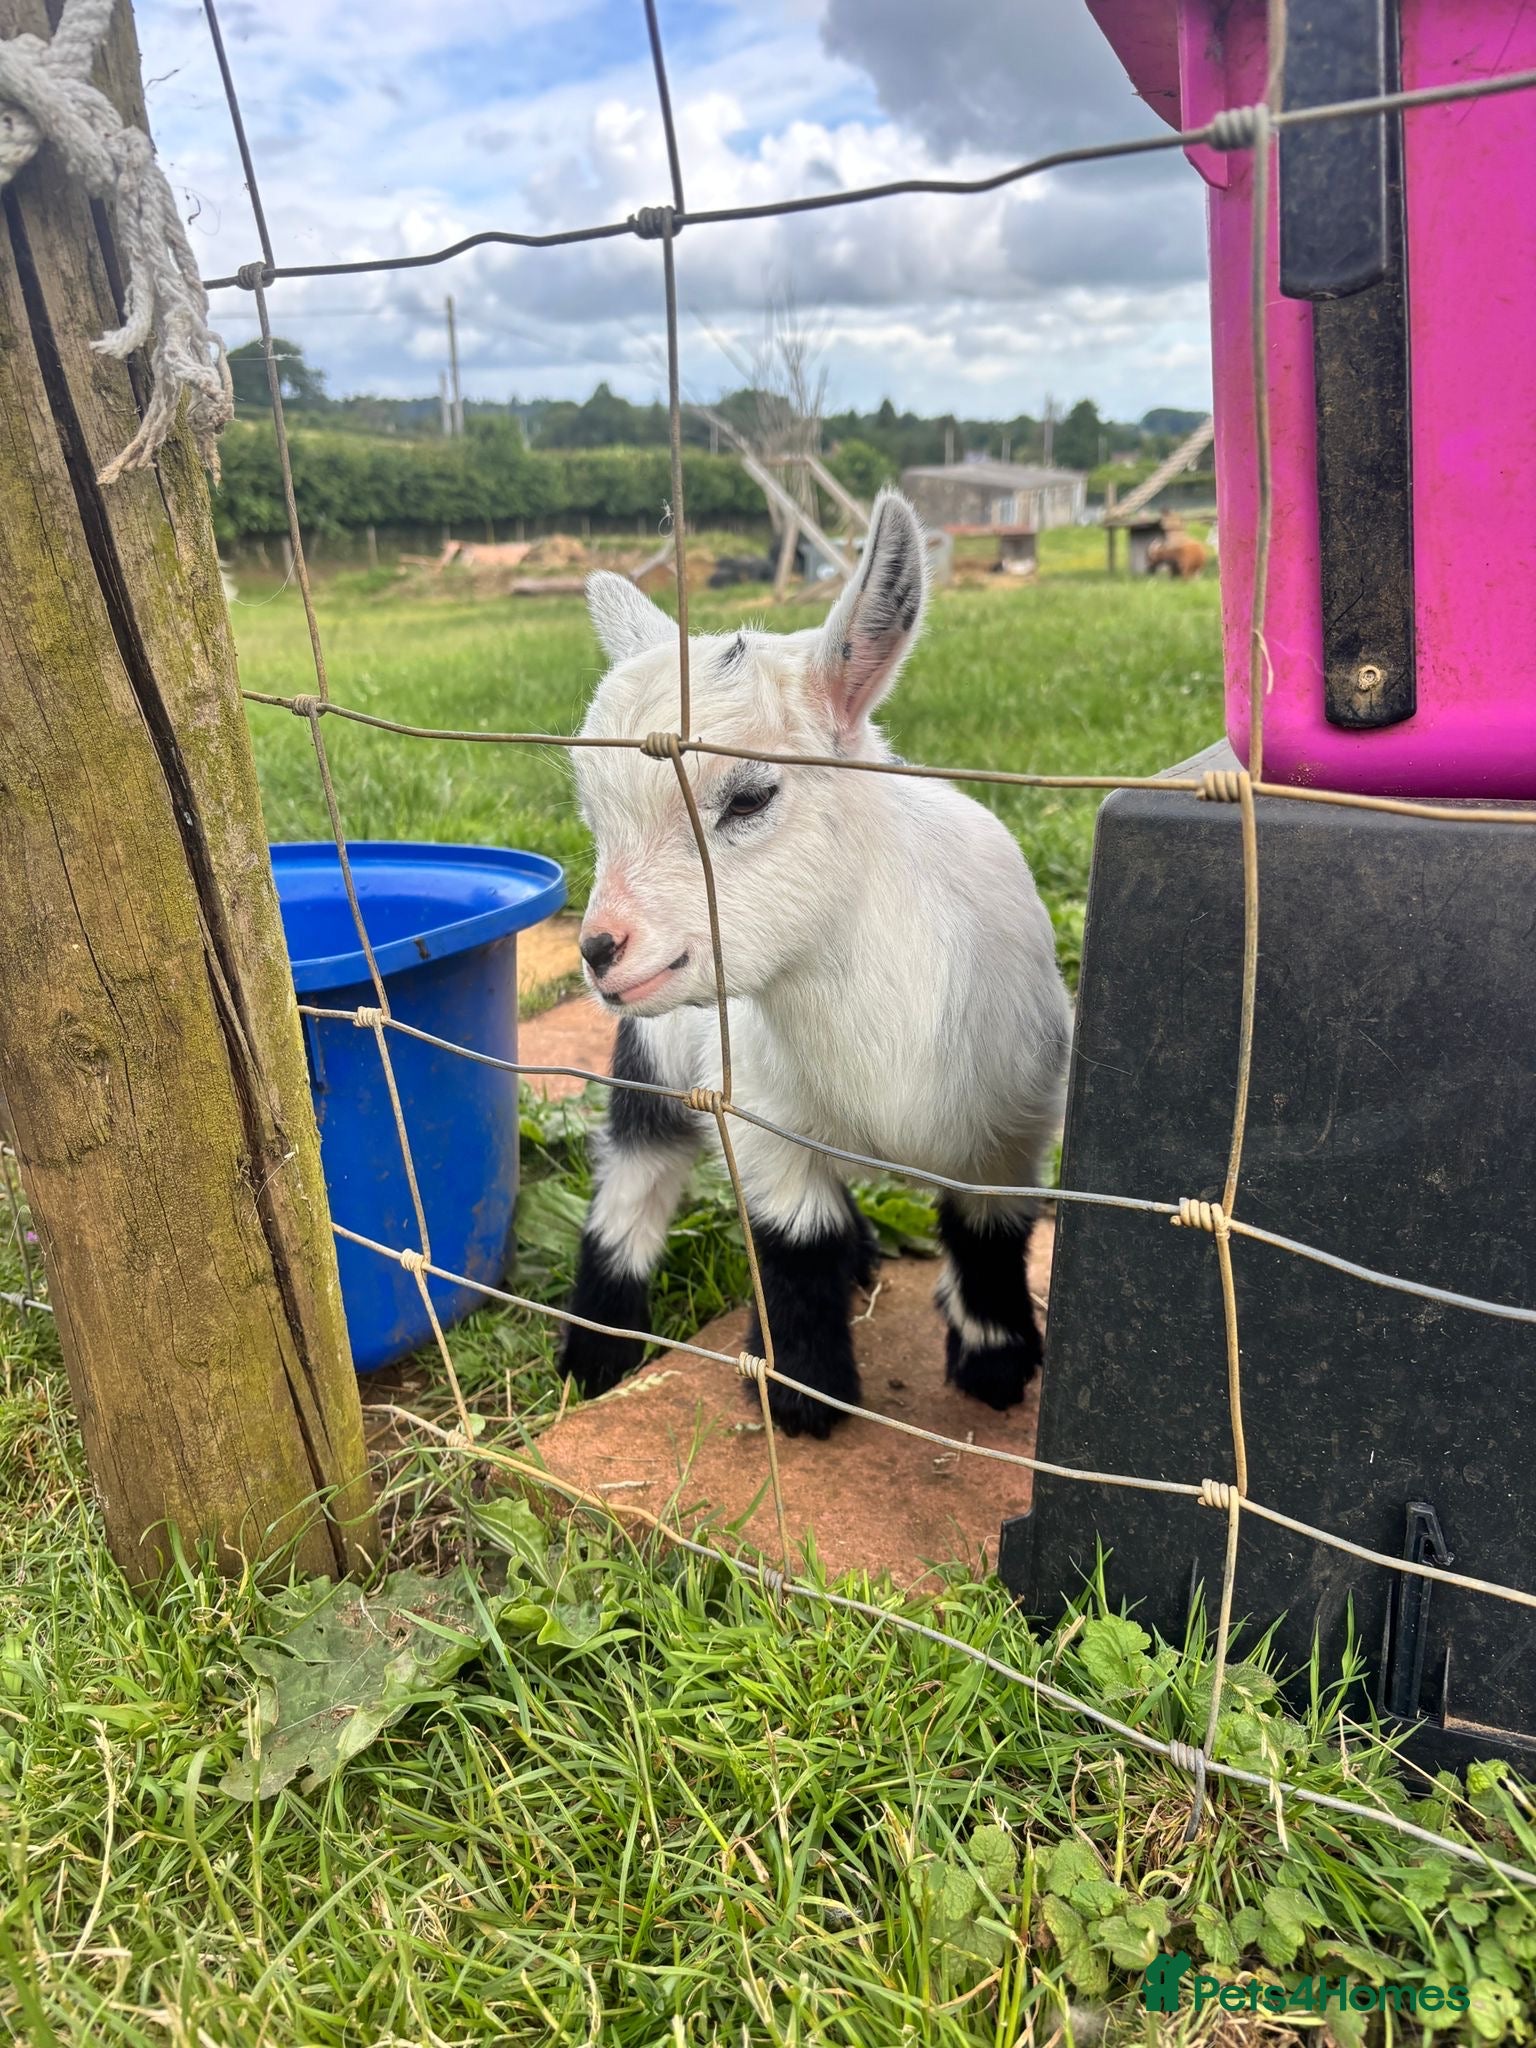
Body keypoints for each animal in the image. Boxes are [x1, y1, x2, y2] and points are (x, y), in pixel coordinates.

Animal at [560, 490, 1072, 1437]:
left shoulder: (1010, 1121)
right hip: (655, 1056)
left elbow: (989, 1233)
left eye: (751, 796)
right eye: (593, 816)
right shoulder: (764, 1113)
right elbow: (795, 1242)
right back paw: (596, 1350)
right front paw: (804, 1393)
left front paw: (995, 1362)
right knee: (636, 1171)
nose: (601, 950)